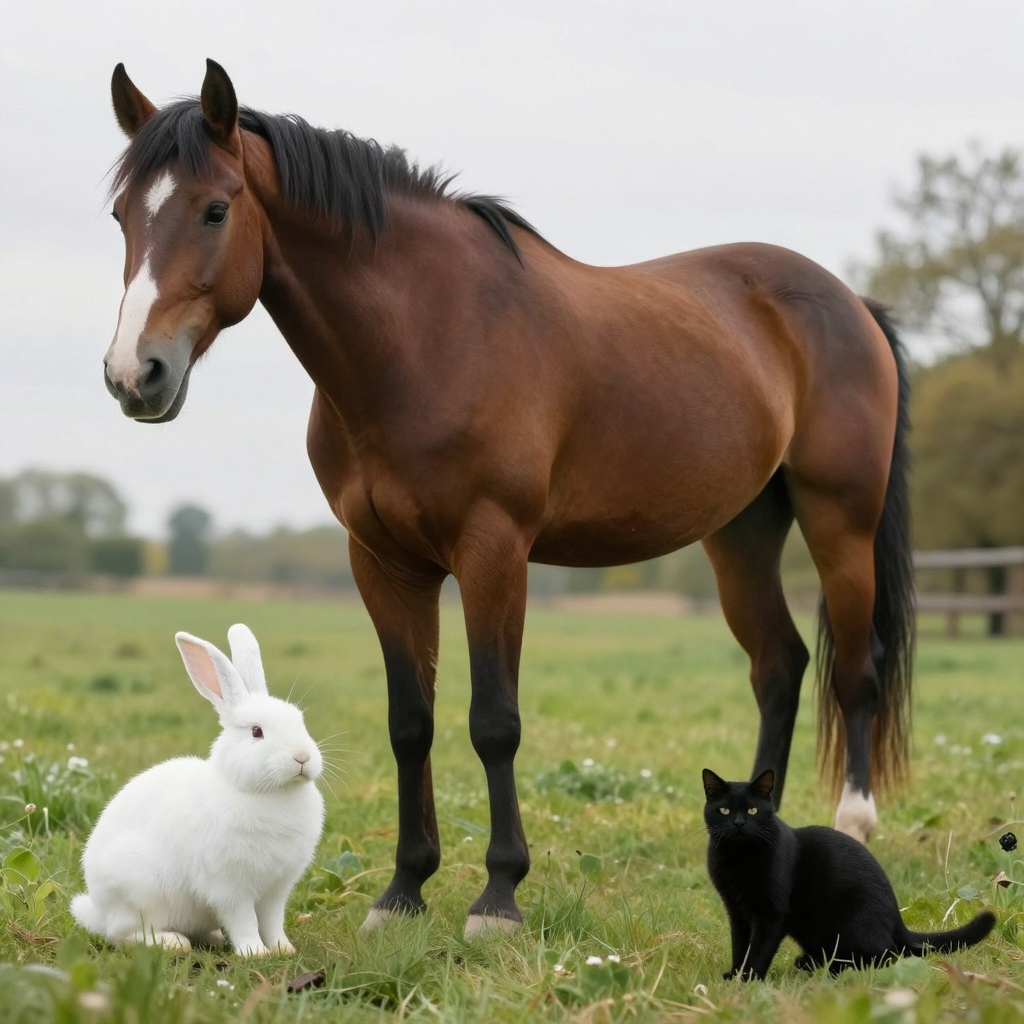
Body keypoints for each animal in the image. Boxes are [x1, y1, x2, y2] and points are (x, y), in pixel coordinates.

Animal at [70, 624, 325, 956]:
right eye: (256, 732)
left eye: (300, 721)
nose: (302, 757)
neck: (266, 793)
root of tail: (98, 911)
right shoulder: (229, 887)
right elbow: (244, 921)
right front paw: (254, 953)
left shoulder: (276, 889)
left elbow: (272, 922)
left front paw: (284, 950)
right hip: (141, 893)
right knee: (123, 935)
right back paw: (173, 943)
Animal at [102, 59, 914, 939]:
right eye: (121, 215)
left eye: (216, 209)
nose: (134, 375)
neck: (426, 338)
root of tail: (851, 303)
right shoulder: (383, 562)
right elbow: (410, 723)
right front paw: (404, 890)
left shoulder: (494, 552)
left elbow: (494, 723)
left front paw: (498, 897)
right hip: (740, 533)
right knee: (778, 664)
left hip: (841, 522)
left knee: (856, 671)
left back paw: (853, 822)